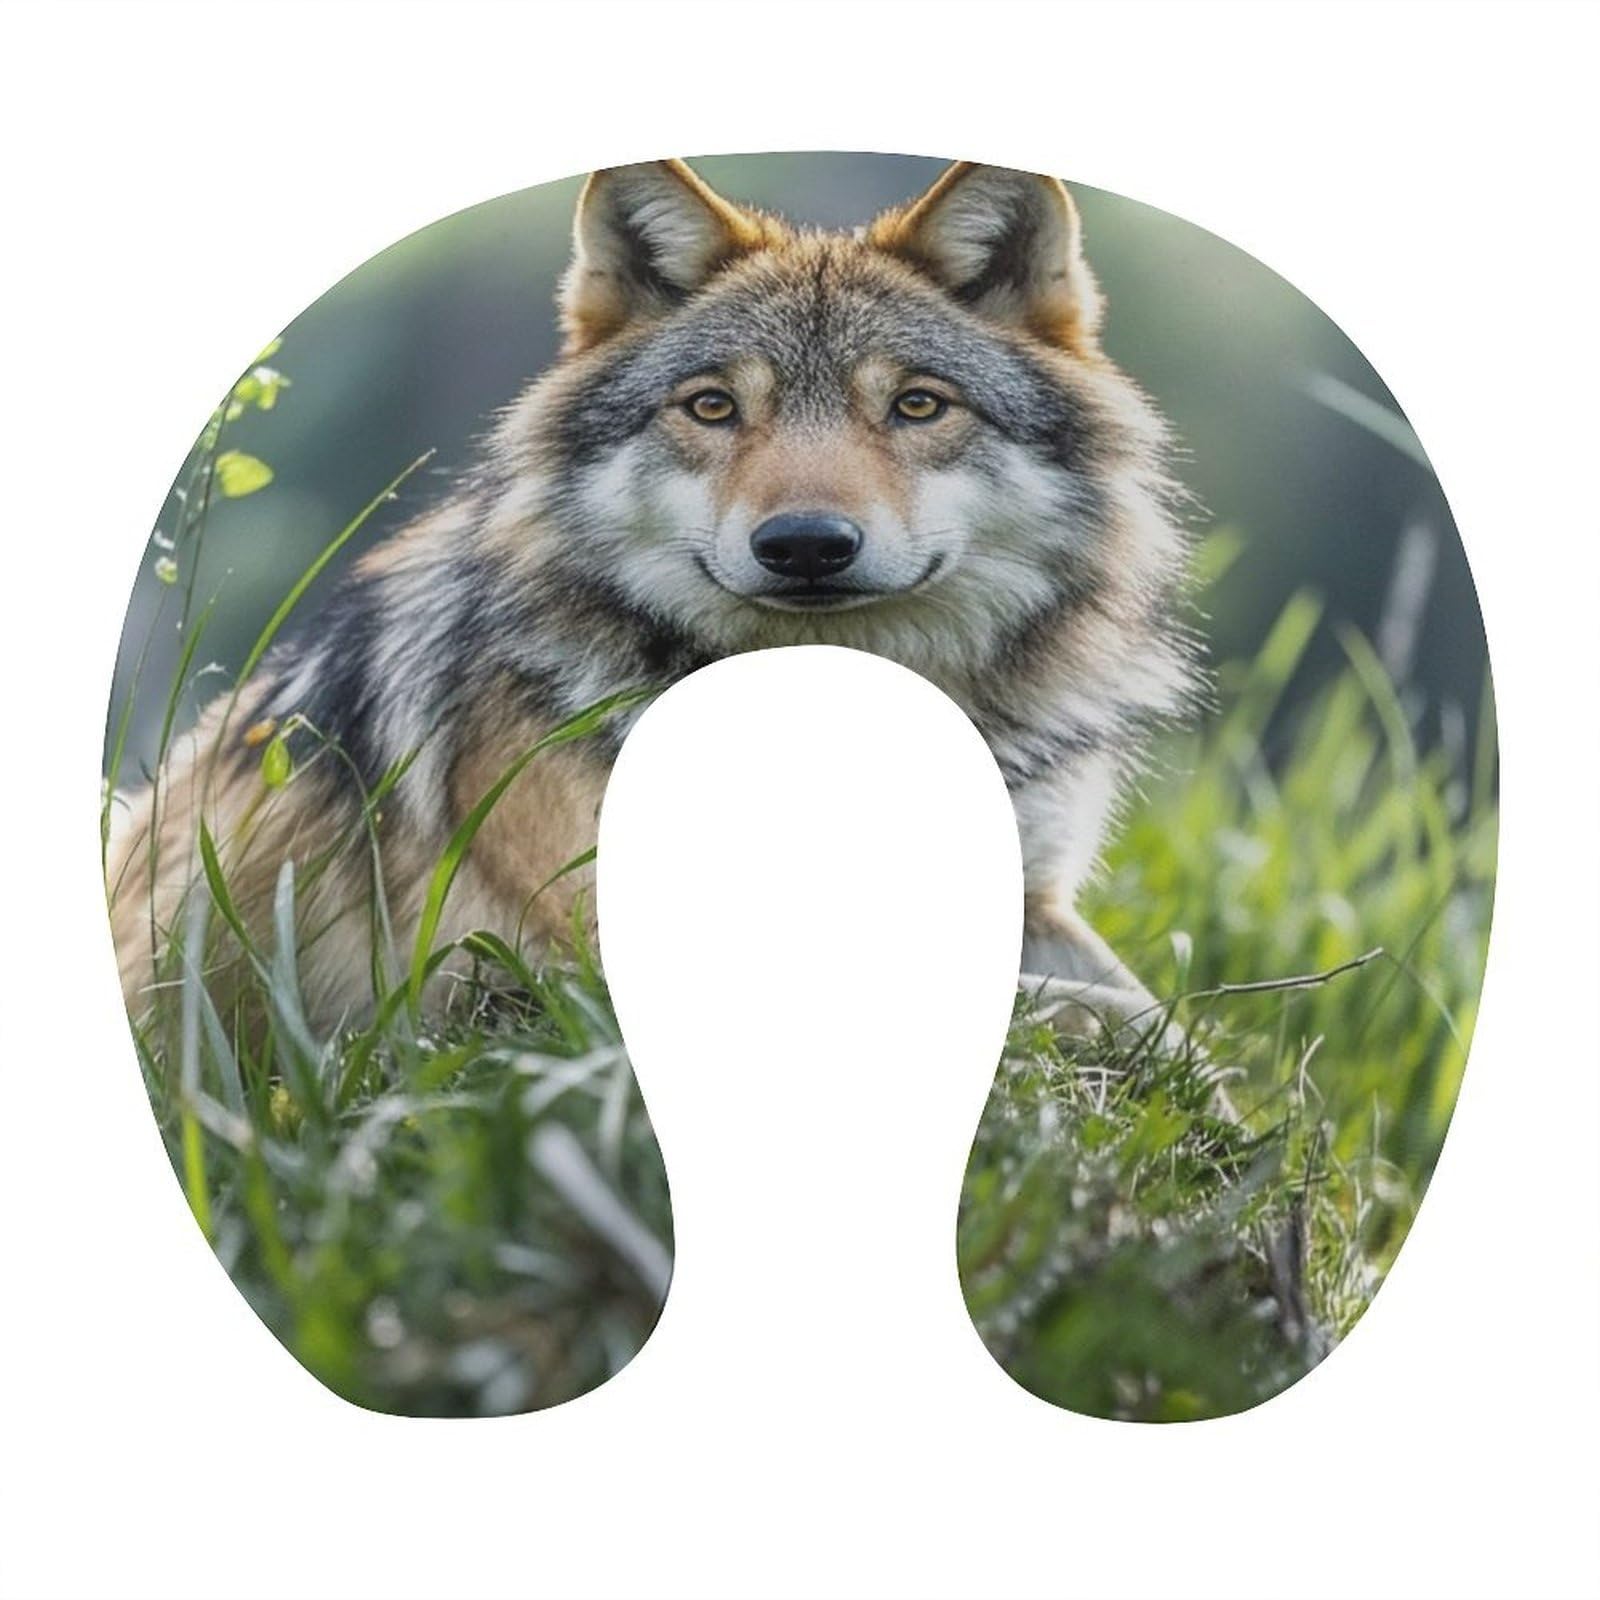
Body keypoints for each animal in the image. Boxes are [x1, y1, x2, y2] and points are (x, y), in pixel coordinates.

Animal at [107, 158, 1198, 1032]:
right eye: (712, 407)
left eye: (917, 404)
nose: (805, 546)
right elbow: (1115, 1017)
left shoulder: (1034, 900)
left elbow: (1164, 1020)